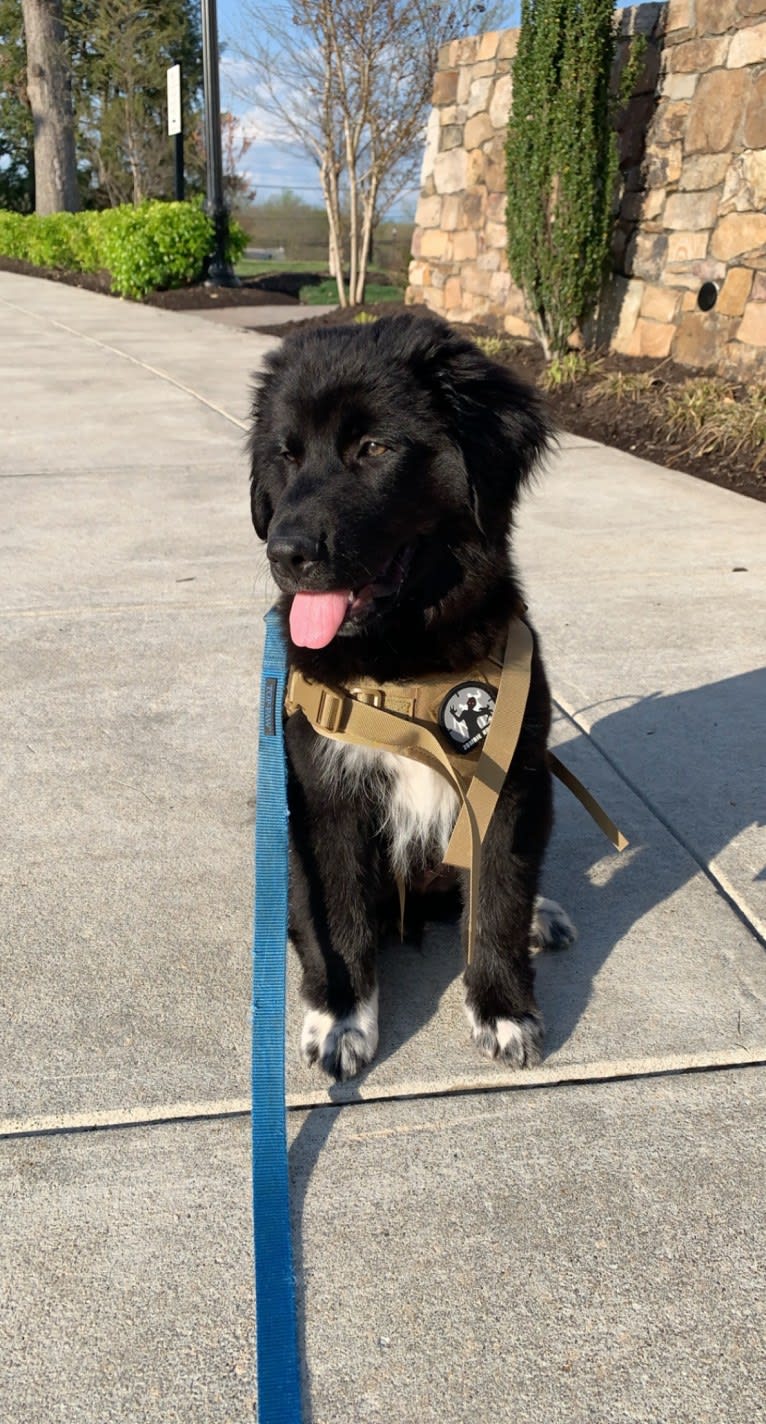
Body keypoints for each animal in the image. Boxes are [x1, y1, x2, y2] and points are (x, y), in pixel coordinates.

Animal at [250, 314, 572, 1076]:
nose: (285, 554)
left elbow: (497, 900)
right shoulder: (322, 795)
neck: (404, 662)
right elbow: (337, 919)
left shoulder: (511, 781)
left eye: (374, 447)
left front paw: (503, 1009)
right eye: (286, 455)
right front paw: (341, 1018)